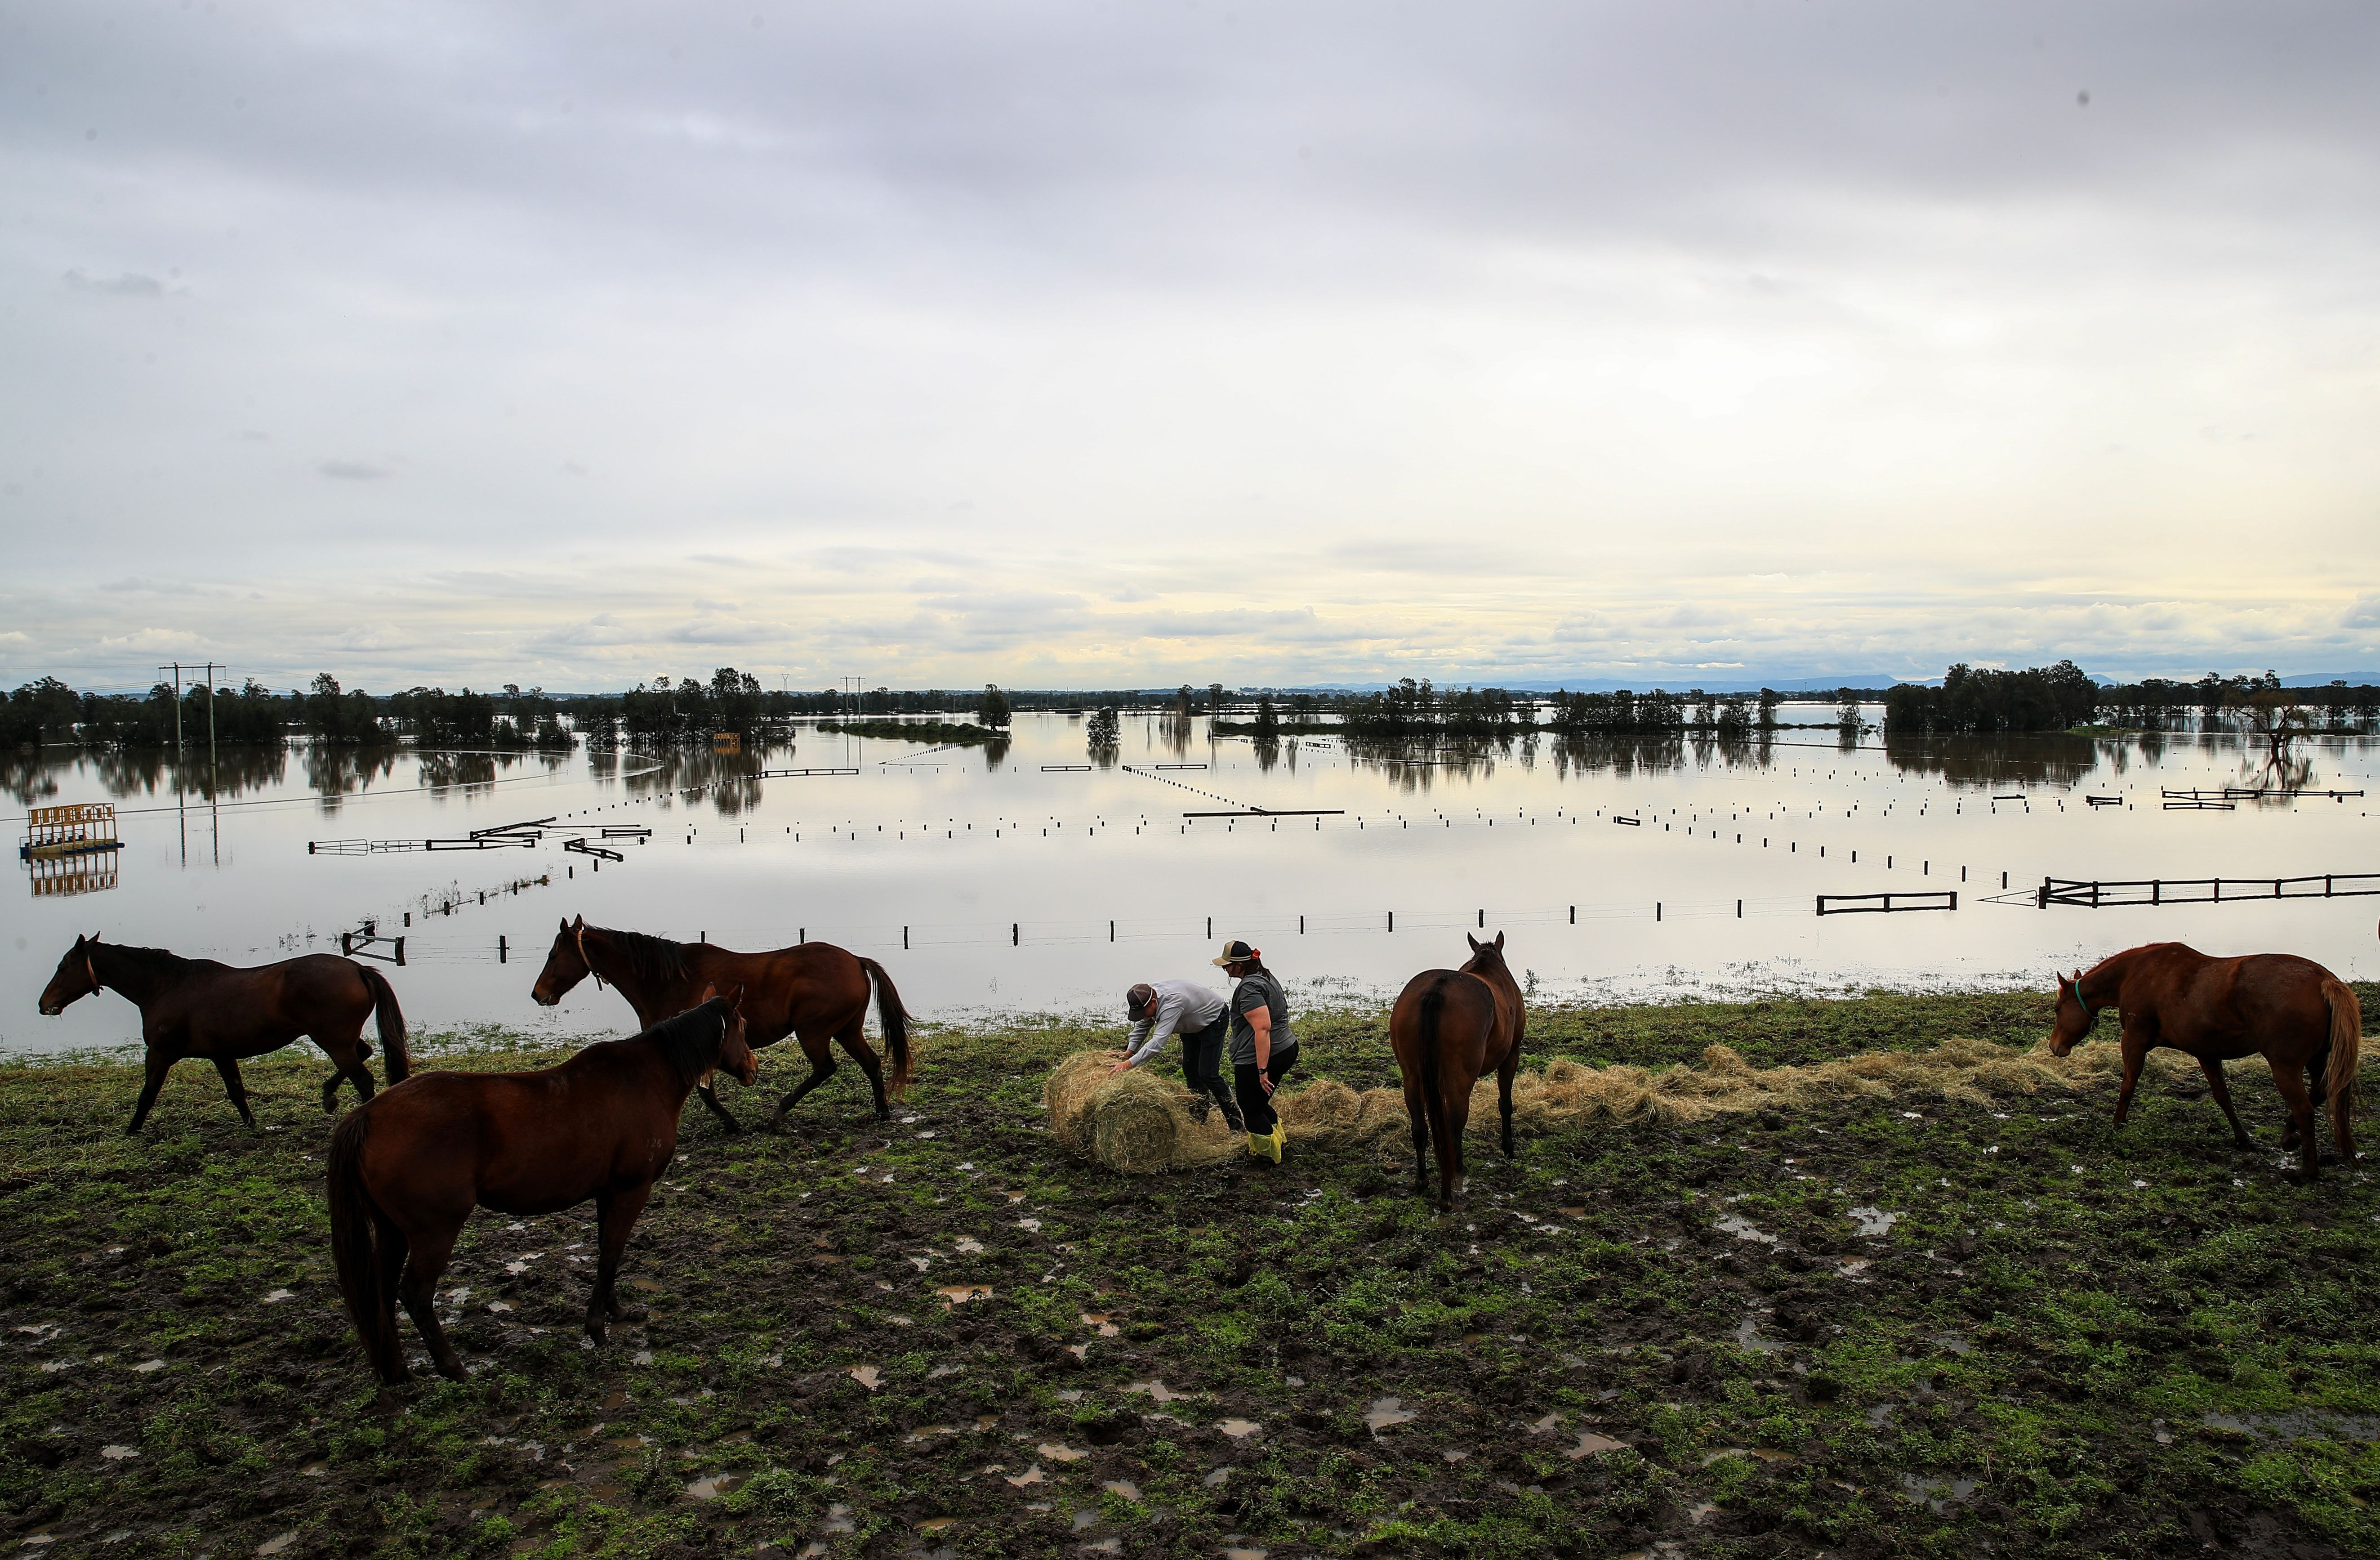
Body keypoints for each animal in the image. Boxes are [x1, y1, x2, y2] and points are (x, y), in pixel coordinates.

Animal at [36, 933, 409, 1133]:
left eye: (63, 966)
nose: (44, 1004)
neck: (166, 987)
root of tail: (359, 968)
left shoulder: (160, 1053)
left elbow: (147, 1095)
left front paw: (131, 1131)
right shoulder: (222, 1054)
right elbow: (237, 1092)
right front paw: (252, 1126)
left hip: (332, 1041)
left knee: (363, 1078)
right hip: (339, 1039)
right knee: (363, 1056)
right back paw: (328, 1096)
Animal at [326, 990, 756, 1385]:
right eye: (743, 1026)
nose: (753, 1066)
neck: (645, 1078)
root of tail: (367, 1115)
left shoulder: (607, 1192)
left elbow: (607, 1253)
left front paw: (615, 1311)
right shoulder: (630, 1189)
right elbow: (611, 1254)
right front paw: (597, 1329)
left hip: (391, 1229)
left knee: (381, 1291)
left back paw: (398, 1371)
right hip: (434, 1231)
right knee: (415, 1294)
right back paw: (453, 1367)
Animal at [529, 916, 911, 1132]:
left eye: (553, 954)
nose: (537, 994)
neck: (667, 978)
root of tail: (856, 960)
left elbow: (704, 1092)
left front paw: (732, 1124)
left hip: (814, 1032)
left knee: (825, 1068)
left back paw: (778, 1113)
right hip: (847, 1029)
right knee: (871, 1063)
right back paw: (881, 1111)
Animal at [1390, 931, 1526, 1209]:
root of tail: (1437, 989)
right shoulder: (1511, 1056)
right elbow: (1505, 1104)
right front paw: (1508, 1148)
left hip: (1413, 1078)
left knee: (1420, 1128)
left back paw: (1423, 1182)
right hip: (1460, 1080)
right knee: (1453, 1126)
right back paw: (1448, 1192)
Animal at [2050, 941, 2362, 1181]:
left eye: (2057, 1008)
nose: (2055, 1047)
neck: (2137, 973)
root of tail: (2323, 980)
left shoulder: (2134, 1042)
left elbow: (2128, 1086)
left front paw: (2116, 1126)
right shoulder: (2207, 1053)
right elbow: (2223, 1097)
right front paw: (2242, 1139)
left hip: (2285, 1067)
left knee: (2305, 1109)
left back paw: (2307, 1170)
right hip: (2317, 1060)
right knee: (2319, 1093)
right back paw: (2289, 1137)